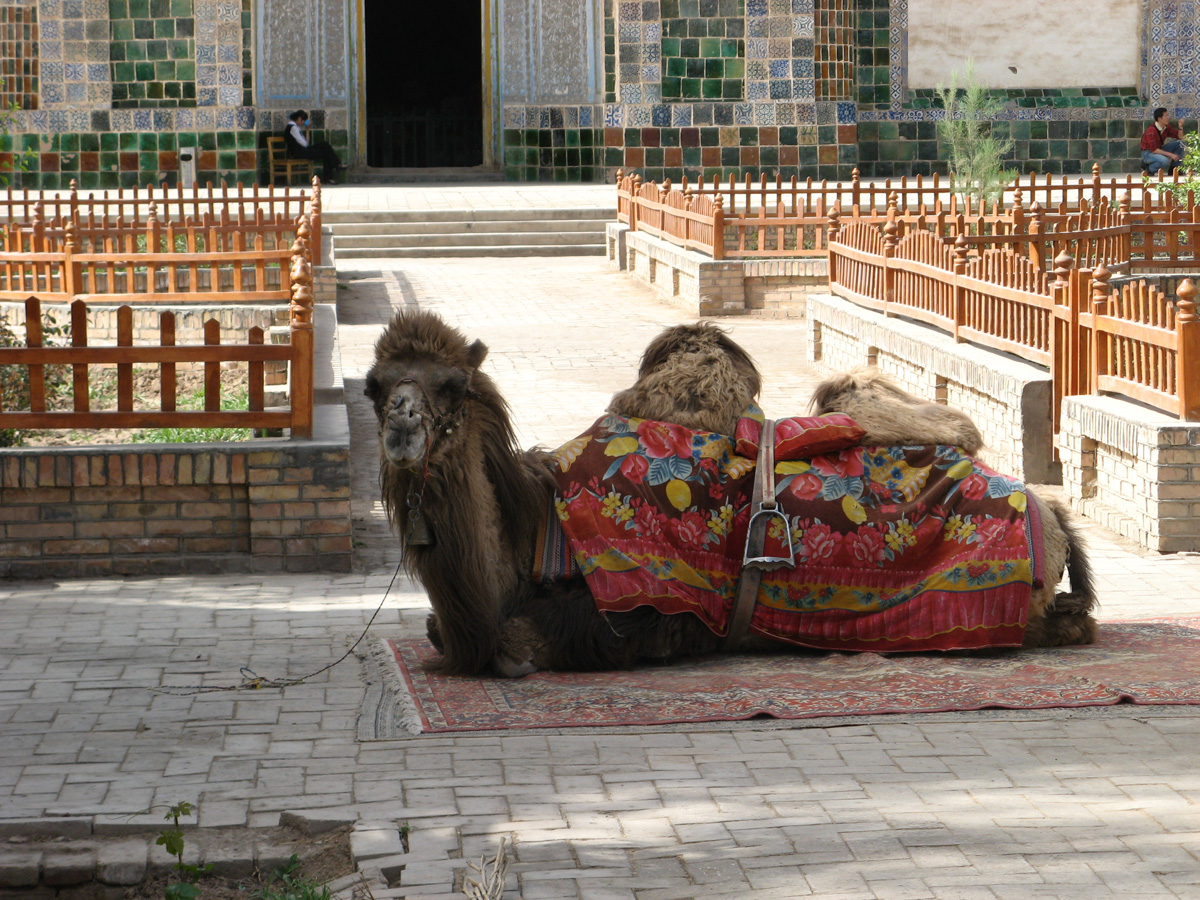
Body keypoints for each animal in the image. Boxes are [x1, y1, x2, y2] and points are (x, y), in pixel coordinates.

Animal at [366, 310, 1097, 677]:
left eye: (452, 385)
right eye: (375, 385)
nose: (402, 423)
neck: (536, 530)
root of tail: (1053, 515)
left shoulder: (637, 614)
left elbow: (513, 643)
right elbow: (438, 630)